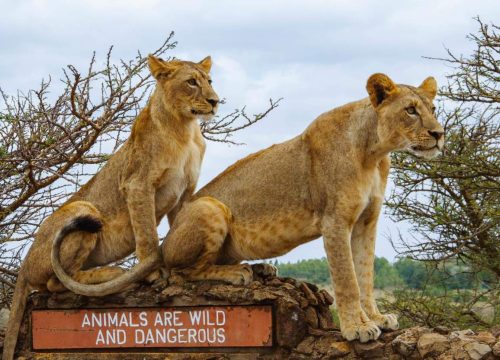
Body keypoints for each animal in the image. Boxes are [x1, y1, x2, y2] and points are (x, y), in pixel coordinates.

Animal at [3, 54, 219, 360]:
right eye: (191, 82)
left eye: (209, 81)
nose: (215, 101)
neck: (185, 129)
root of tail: (23, 264)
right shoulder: (138, 184)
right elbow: (147, 236)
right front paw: (153, 273)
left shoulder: (186, 191)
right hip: (84, 209)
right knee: (56, 284)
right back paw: (113, 274)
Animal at [161, 73, 446, 344]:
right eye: (410, 110)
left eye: (433, 109)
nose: (439, 134)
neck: (373, 154)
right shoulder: (335, 221)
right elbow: (348, 280)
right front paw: (357, 328)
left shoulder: (367, 222)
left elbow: (365, 275)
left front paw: (377, 318)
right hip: (209, 207)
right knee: (183, 272)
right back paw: (237, 273)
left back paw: (262, 269)